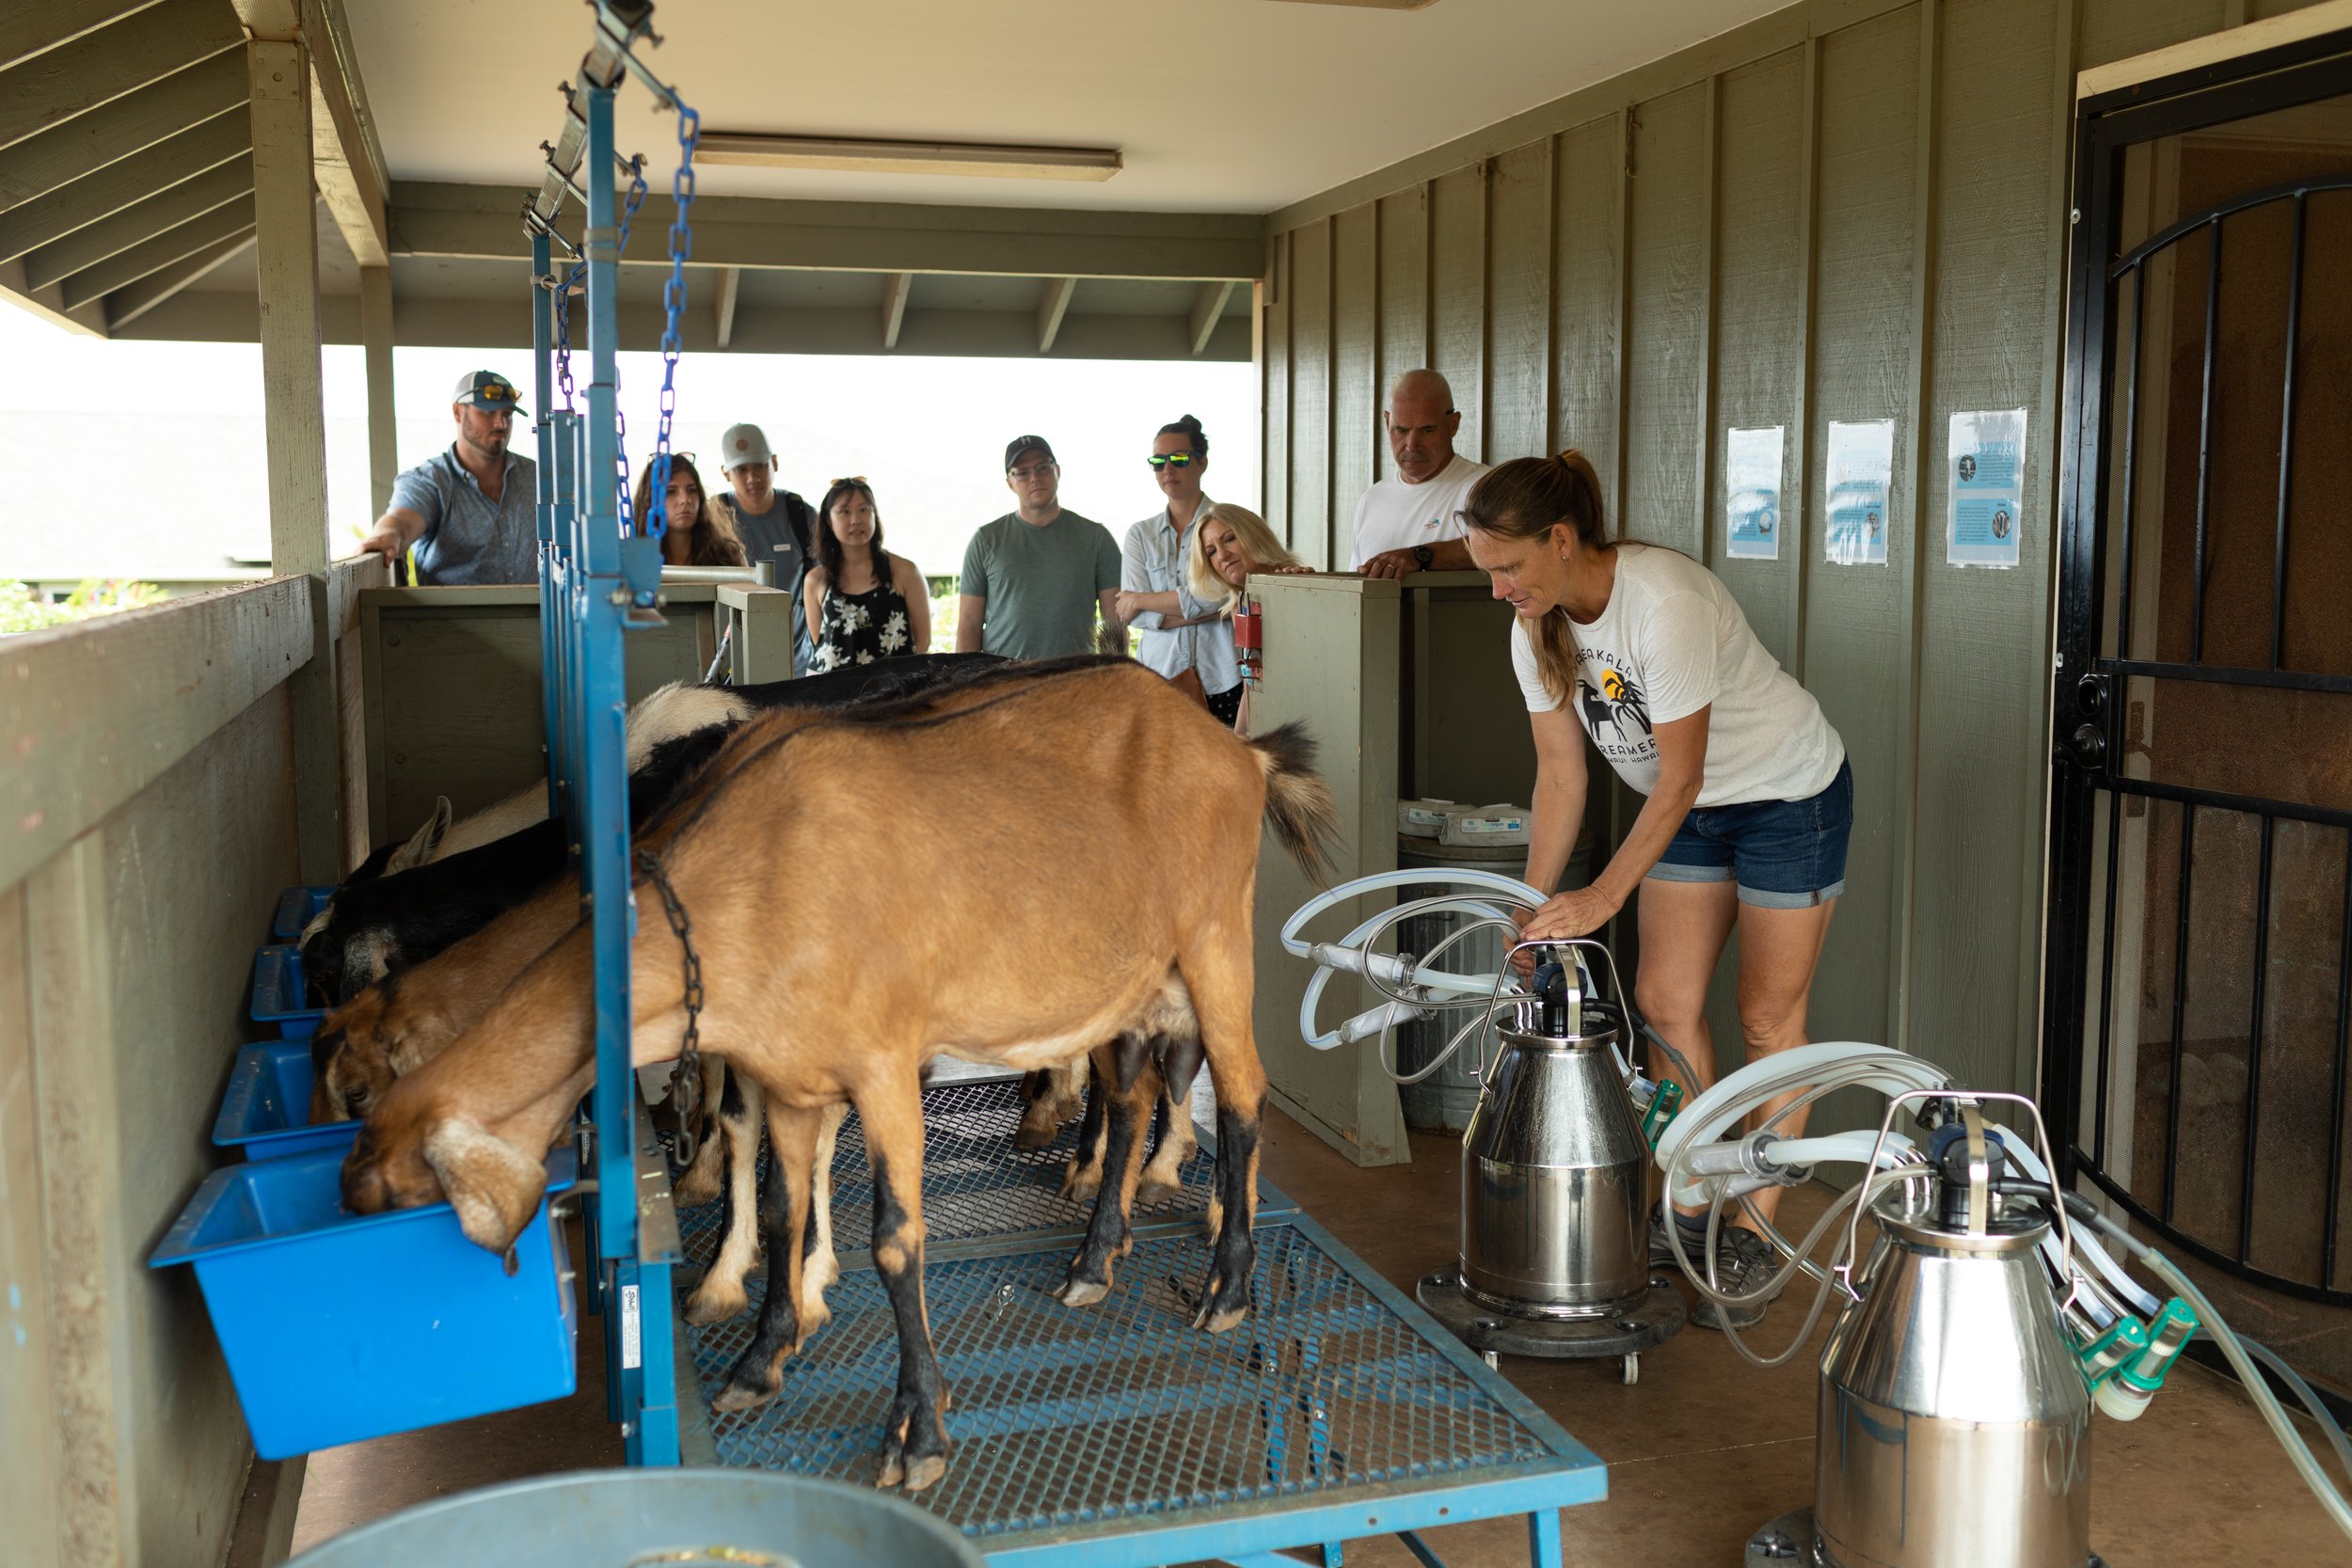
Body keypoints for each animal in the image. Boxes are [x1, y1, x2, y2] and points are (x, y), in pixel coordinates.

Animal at [348, 657, 1345, 1495]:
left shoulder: (885, 1067)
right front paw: (761, 1355)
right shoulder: (791, 1079)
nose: (351, 1194)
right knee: (1135, 1092)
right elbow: (781, 1203)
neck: (757, 868)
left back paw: (1225, 1286)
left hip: (1214, 944)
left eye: (387, 1162)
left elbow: (897, 1240)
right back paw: (1093, 1259)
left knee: (1241, 1096)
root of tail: (1239, 750)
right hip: (1128, 977)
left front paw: (919, 1433)